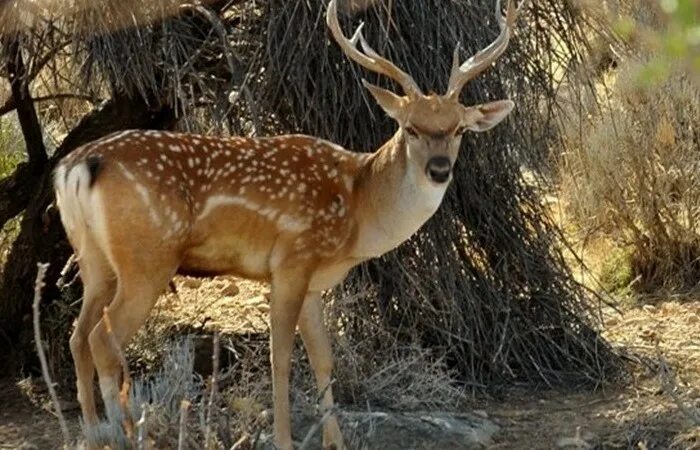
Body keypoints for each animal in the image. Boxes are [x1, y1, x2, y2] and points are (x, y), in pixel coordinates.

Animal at [53, 1, 524, 448]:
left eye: (459, 129)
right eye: (410, 128)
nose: (439, 169)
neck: (358, 207)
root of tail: (77, 167)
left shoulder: (316, 283)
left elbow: (323, 358)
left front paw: (336, 442)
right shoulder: (291, 261)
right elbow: (280, 357)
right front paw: (283, 439)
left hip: (95, 261)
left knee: (78, 338)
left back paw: (93, 435)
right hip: (146, 260)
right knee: (102, 339)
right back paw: (122, 435)